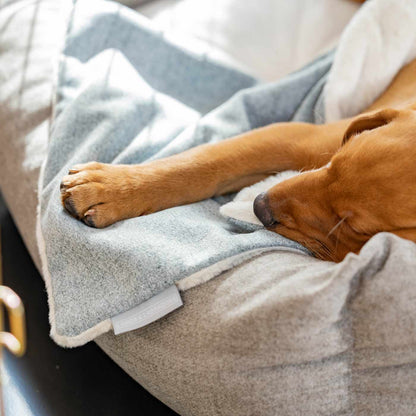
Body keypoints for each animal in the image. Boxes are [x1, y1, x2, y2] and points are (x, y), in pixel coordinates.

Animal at [60, 58, 416, 262]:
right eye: (332, 164)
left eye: (354, 226)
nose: (260, 206)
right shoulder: (302, 138)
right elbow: (201, 163)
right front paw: (110, 188)